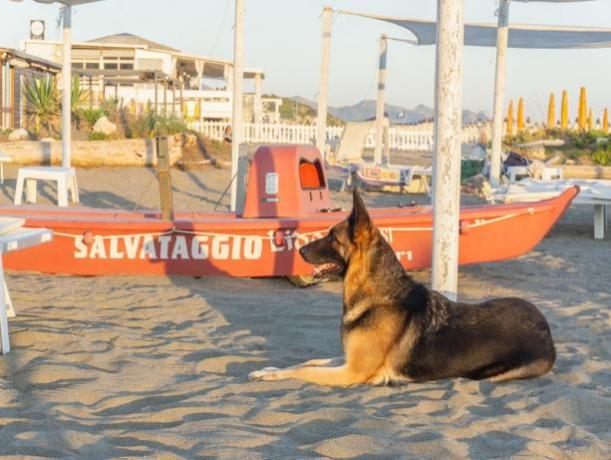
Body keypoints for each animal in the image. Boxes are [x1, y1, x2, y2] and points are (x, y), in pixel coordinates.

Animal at [250, 189, 560, 386]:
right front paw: (269, 368)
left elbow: (303, 370)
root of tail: (546, 328)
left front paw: (271, 375)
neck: (378, 295)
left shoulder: (352, 372)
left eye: (332, 237)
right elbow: (309, 362)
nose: (299, 250)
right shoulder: (347, 359)